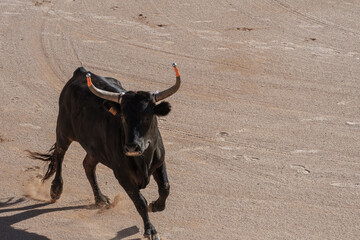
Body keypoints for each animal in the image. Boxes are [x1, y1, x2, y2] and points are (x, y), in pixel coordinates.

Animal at [28, 63, 181, 238]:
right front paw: (150, 230)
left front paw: (155, 206)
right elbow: (140, 201)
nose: (131, 147)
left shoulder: (159, 163)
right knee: (60, 154)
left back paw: (100, 199)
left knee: (87, 165)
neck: (143, 160)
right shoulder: (122, 175)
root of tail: (80, 72)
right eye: (123, 117)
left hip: (95, 148)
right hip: (64, 130)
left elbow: (165, 188)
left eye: (147, 117)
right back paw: (56, 190)